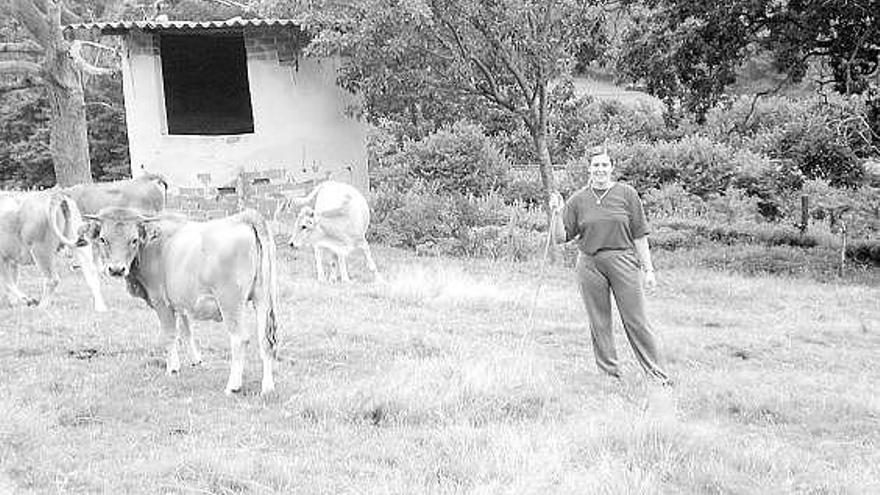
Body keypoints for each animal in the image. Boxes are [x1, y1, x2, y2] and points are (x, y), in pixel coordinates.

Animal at [81, 207, 278, 398]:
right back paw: (267, 388)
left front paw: (173, 368)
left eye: (134, 240)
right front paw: (196, 361)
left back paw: (233, 386)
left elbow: (170, 335)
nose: (116, 269)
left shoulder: (161, 301)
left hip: (230, 302)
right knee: (266, 340)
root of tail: (244, 217)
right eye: (103, 239)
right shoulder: (183, 302)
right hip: (262, 298)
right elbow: (186, 331)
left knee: (240, 339)